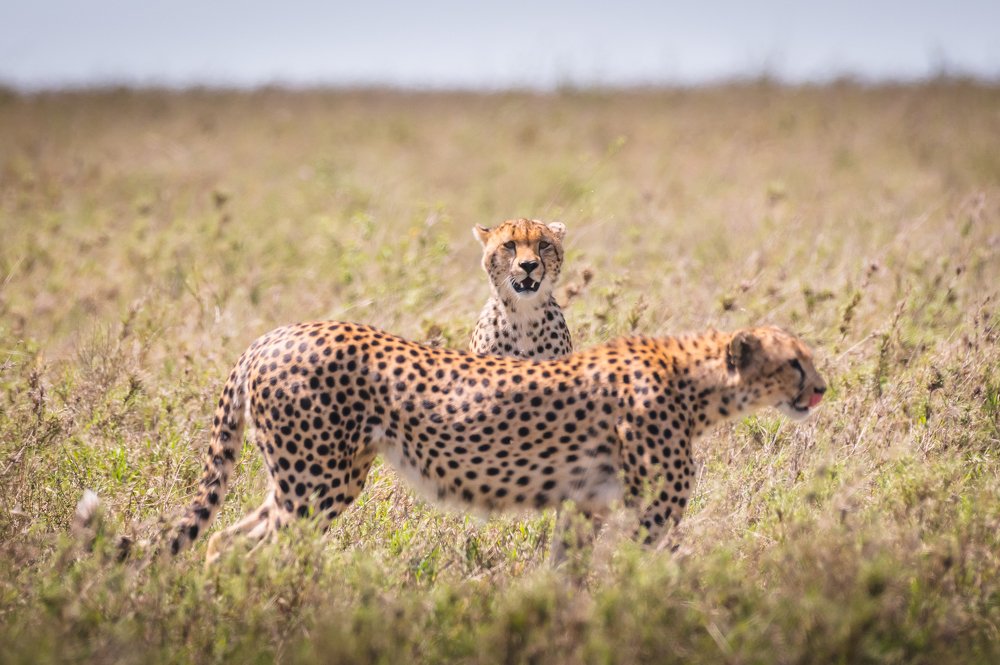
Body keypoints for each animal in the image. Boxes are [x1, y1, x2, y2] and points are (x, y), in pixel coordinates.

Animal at [133, 320, 826, 564]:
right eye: (794, 363)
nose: (822, 387)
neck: (695, 380)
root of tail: (274, 334)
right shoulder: (649, 511)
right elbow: (644, 574)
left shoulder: (587, 503)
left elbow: (569, 573)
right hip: (315, 484)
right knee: (258, 548)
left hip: (311, 480)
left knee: (225, 540)